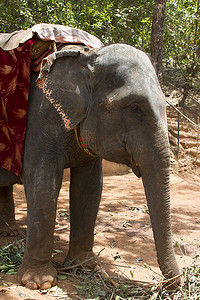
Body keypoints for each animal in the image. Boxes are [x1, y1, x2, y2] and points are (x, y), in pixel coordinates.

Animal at [0, 43, 180, 290]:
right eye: (134, 107)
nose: (171, 284)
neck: (86, 56)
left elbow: (89, 187)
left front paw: (85, 267)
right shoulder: (40, 121)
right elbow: (43, 184)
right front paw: (39, 283)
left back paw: (10, 233)